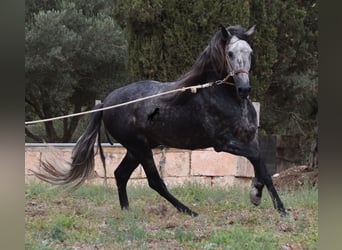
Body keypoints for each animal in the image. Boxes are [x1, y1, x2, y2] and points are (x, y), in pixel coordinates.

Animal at [34, 24, 286, 217]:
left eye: (250, 52)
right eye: (230, 53)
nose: (244, 89)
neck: (225, 97)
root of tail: (106, 103)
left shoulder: (250, 138)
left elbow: (262, 166)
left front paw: (267, 201)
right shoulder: (222, 143)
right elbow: (257, 160)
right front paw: (269, 203)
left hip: (136, 149)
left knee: (120, 175)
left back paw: (127, 211)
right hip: (140, 147)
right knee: (155, 181)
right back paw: (189, 212)